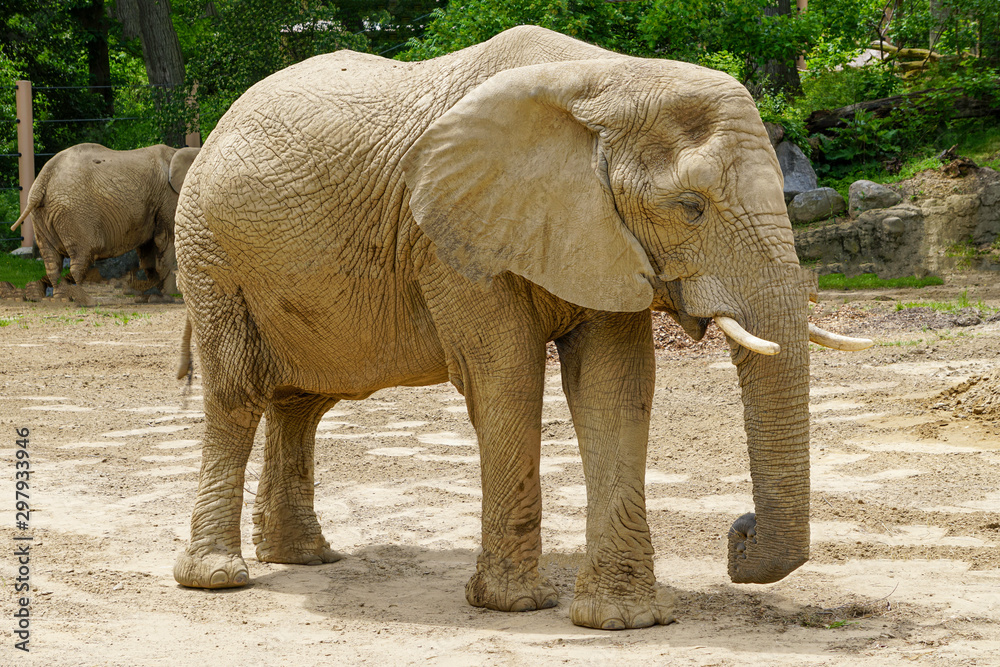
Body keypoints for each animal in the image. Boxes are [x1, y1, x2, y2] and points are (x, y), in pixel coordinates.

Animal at [11, 143, 200, 299]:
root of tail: (42, 179)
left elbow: (150, 250)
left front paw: (155, 293)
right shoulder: (169, 197)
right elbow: (167, 240)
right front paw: (173, 295)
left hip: (42, 215)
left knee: (52, 263)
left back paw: (61, 299)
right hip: (75, 213)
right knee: (82, 257)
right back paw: (82, 298)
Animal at [171, 25, 871, 630]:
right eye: (689, 207)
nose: (739, 535)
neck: (604, 81)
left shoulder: (600, 232)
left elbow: (614, 388)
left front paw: (622, 620)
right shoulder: (450, 238)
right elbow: (506, 376)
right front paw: (513, 605)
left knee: (301, 401)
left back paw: (304, 558)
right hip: (208, 252)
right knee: (237, 393)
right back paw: (219, 578)